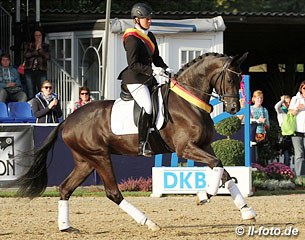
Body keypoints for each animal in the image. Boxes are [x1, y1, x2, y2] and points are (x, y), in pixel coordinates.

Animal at [15, 52, 255, 232]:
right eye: (231, 79)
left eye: (239, 80)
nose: (234, 108)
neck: (189, 101)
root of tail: (67, 120)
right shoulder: (185, 148)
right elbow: (217, 166)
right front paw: (203, 196)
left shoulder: (204, 146)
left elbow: (225, 172)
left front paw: (246, 211)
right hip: (100, 157)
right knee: (113, 192)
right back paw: (148, 222)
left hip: (86, 161)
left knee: (65, 188)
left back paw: (66, 227)